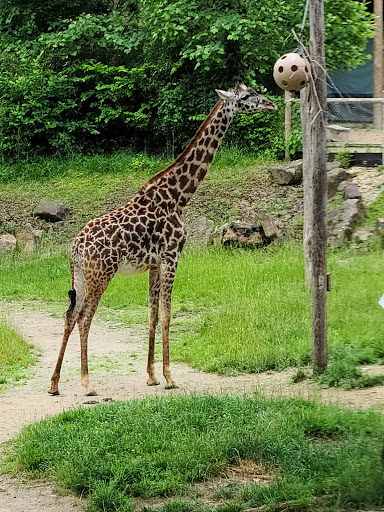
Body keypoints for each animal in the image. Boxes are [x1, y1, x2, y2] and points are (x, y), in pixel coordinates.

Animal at [48, 79, 276, 396]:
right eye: (247, 96)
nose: (272, 104)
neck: (179, 196)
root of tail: (76, 247)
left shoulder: (154, 263)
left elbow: (153, 314)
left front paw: (152, 375)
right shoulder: (172, 256)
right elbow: (168, 314)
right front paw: (169, 377)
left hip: (80, 275)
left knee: (69, 315)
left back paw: (54, 384)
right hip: (101, 274)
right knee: (84, 317)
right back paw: (87, 383)